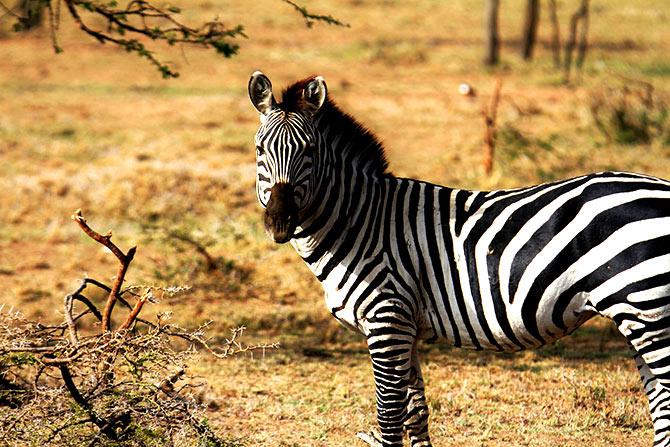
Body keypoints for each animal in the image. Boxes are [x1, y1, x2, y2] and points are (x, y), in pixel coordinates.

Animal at [248, 72, 670, 446]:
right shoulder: (406, 327)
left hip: (648, 309)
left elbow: (388, 417)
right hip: (640, 317)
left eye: (309, 152)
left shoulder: (387, 319)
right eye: (259, 150)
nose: (279, 223)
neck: (361, 222)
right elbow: (415, 412)